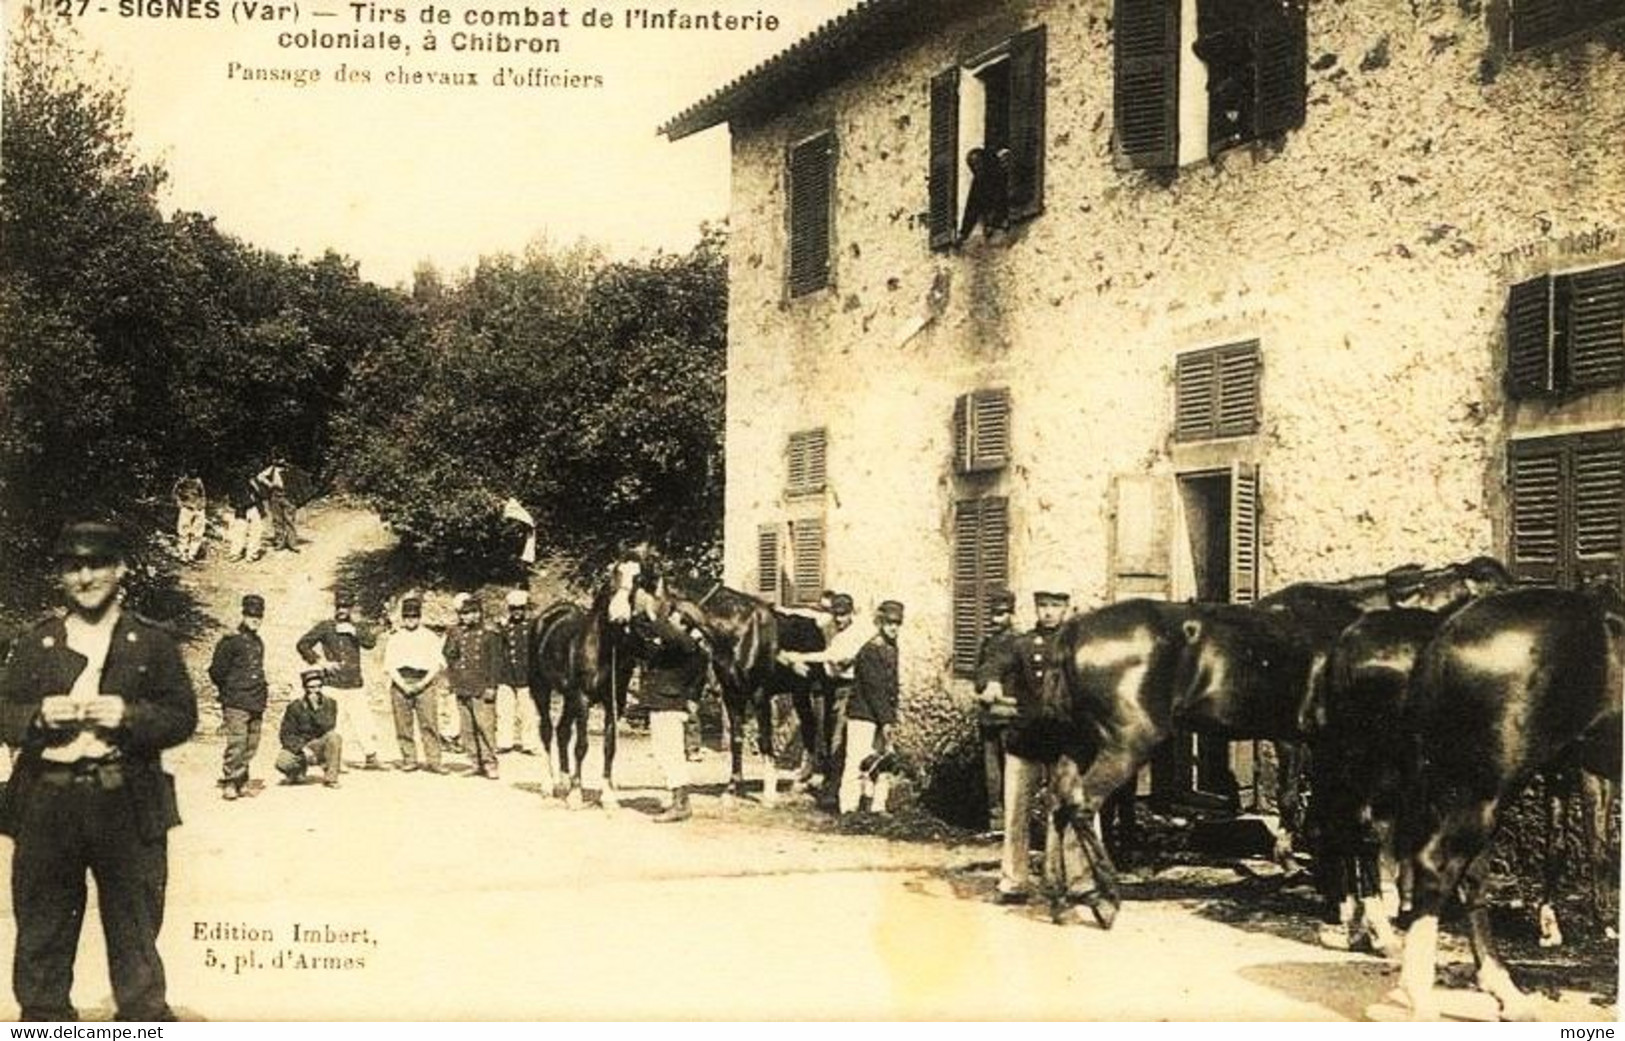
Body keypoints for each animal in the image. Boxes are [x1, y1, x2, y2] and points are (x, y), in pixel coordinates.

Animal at [526, 555, 640, 808]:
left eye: (638, 579)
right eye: (614, 575)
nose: (619, 615)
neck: (603, 647)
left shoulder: (614, 703)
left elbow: (609, 746)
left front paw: (607, 796)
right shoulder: (583, 698)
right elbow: (582, 745)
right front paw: (577, 795)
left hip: (569, 698)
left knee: (562, 731)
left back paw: (564, 782)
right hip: (541, 689)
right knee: (547, 730)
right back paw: (549, 785)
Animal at [1040, 558, 1488, 922]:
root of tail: (1074, 630)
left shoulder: (1306, 741)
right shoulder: (1321, 745)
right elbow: (1322, 816)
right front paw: (1329, 890)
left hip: (1081, 745)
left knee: (1058, 802)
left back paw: (1064, 900)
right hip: (1126, 743)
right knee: (1083, 804)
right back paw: (1104, 899)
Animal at [1391, 581, 1618, 1019]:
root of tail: (1446, 632)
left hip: (1471, 790)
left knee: (1471, 878)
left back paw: (1504, 990)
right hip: (1488, 789)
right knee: (1439, 866)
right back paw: (1421, 996)